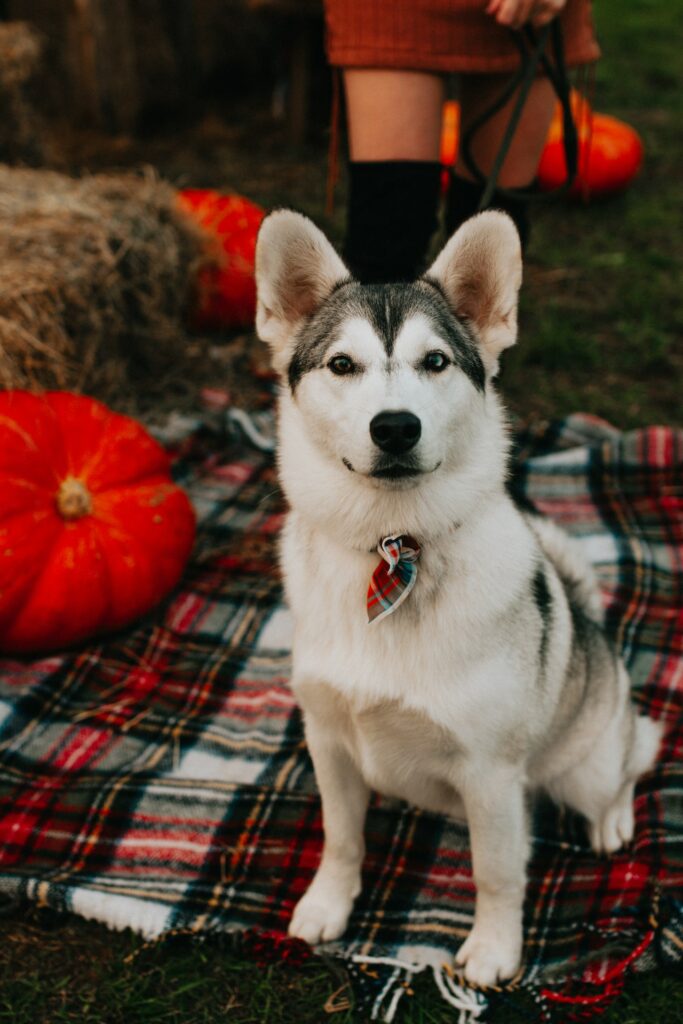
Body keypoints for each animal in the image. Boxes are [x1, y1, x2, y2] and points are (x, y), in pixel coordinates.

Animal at [252, 207, 663, 983]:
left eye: (435, 362)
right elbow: (342, 838)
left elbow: (496, 872)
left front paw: (495, 949)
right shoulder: (330, 742)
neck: (394, 547)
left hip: (588, 764)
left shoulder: (490, 774)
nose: (395, 426)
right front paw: (328, 904)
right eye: (341, 365)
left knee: (632, 760)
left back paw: (613, 821)